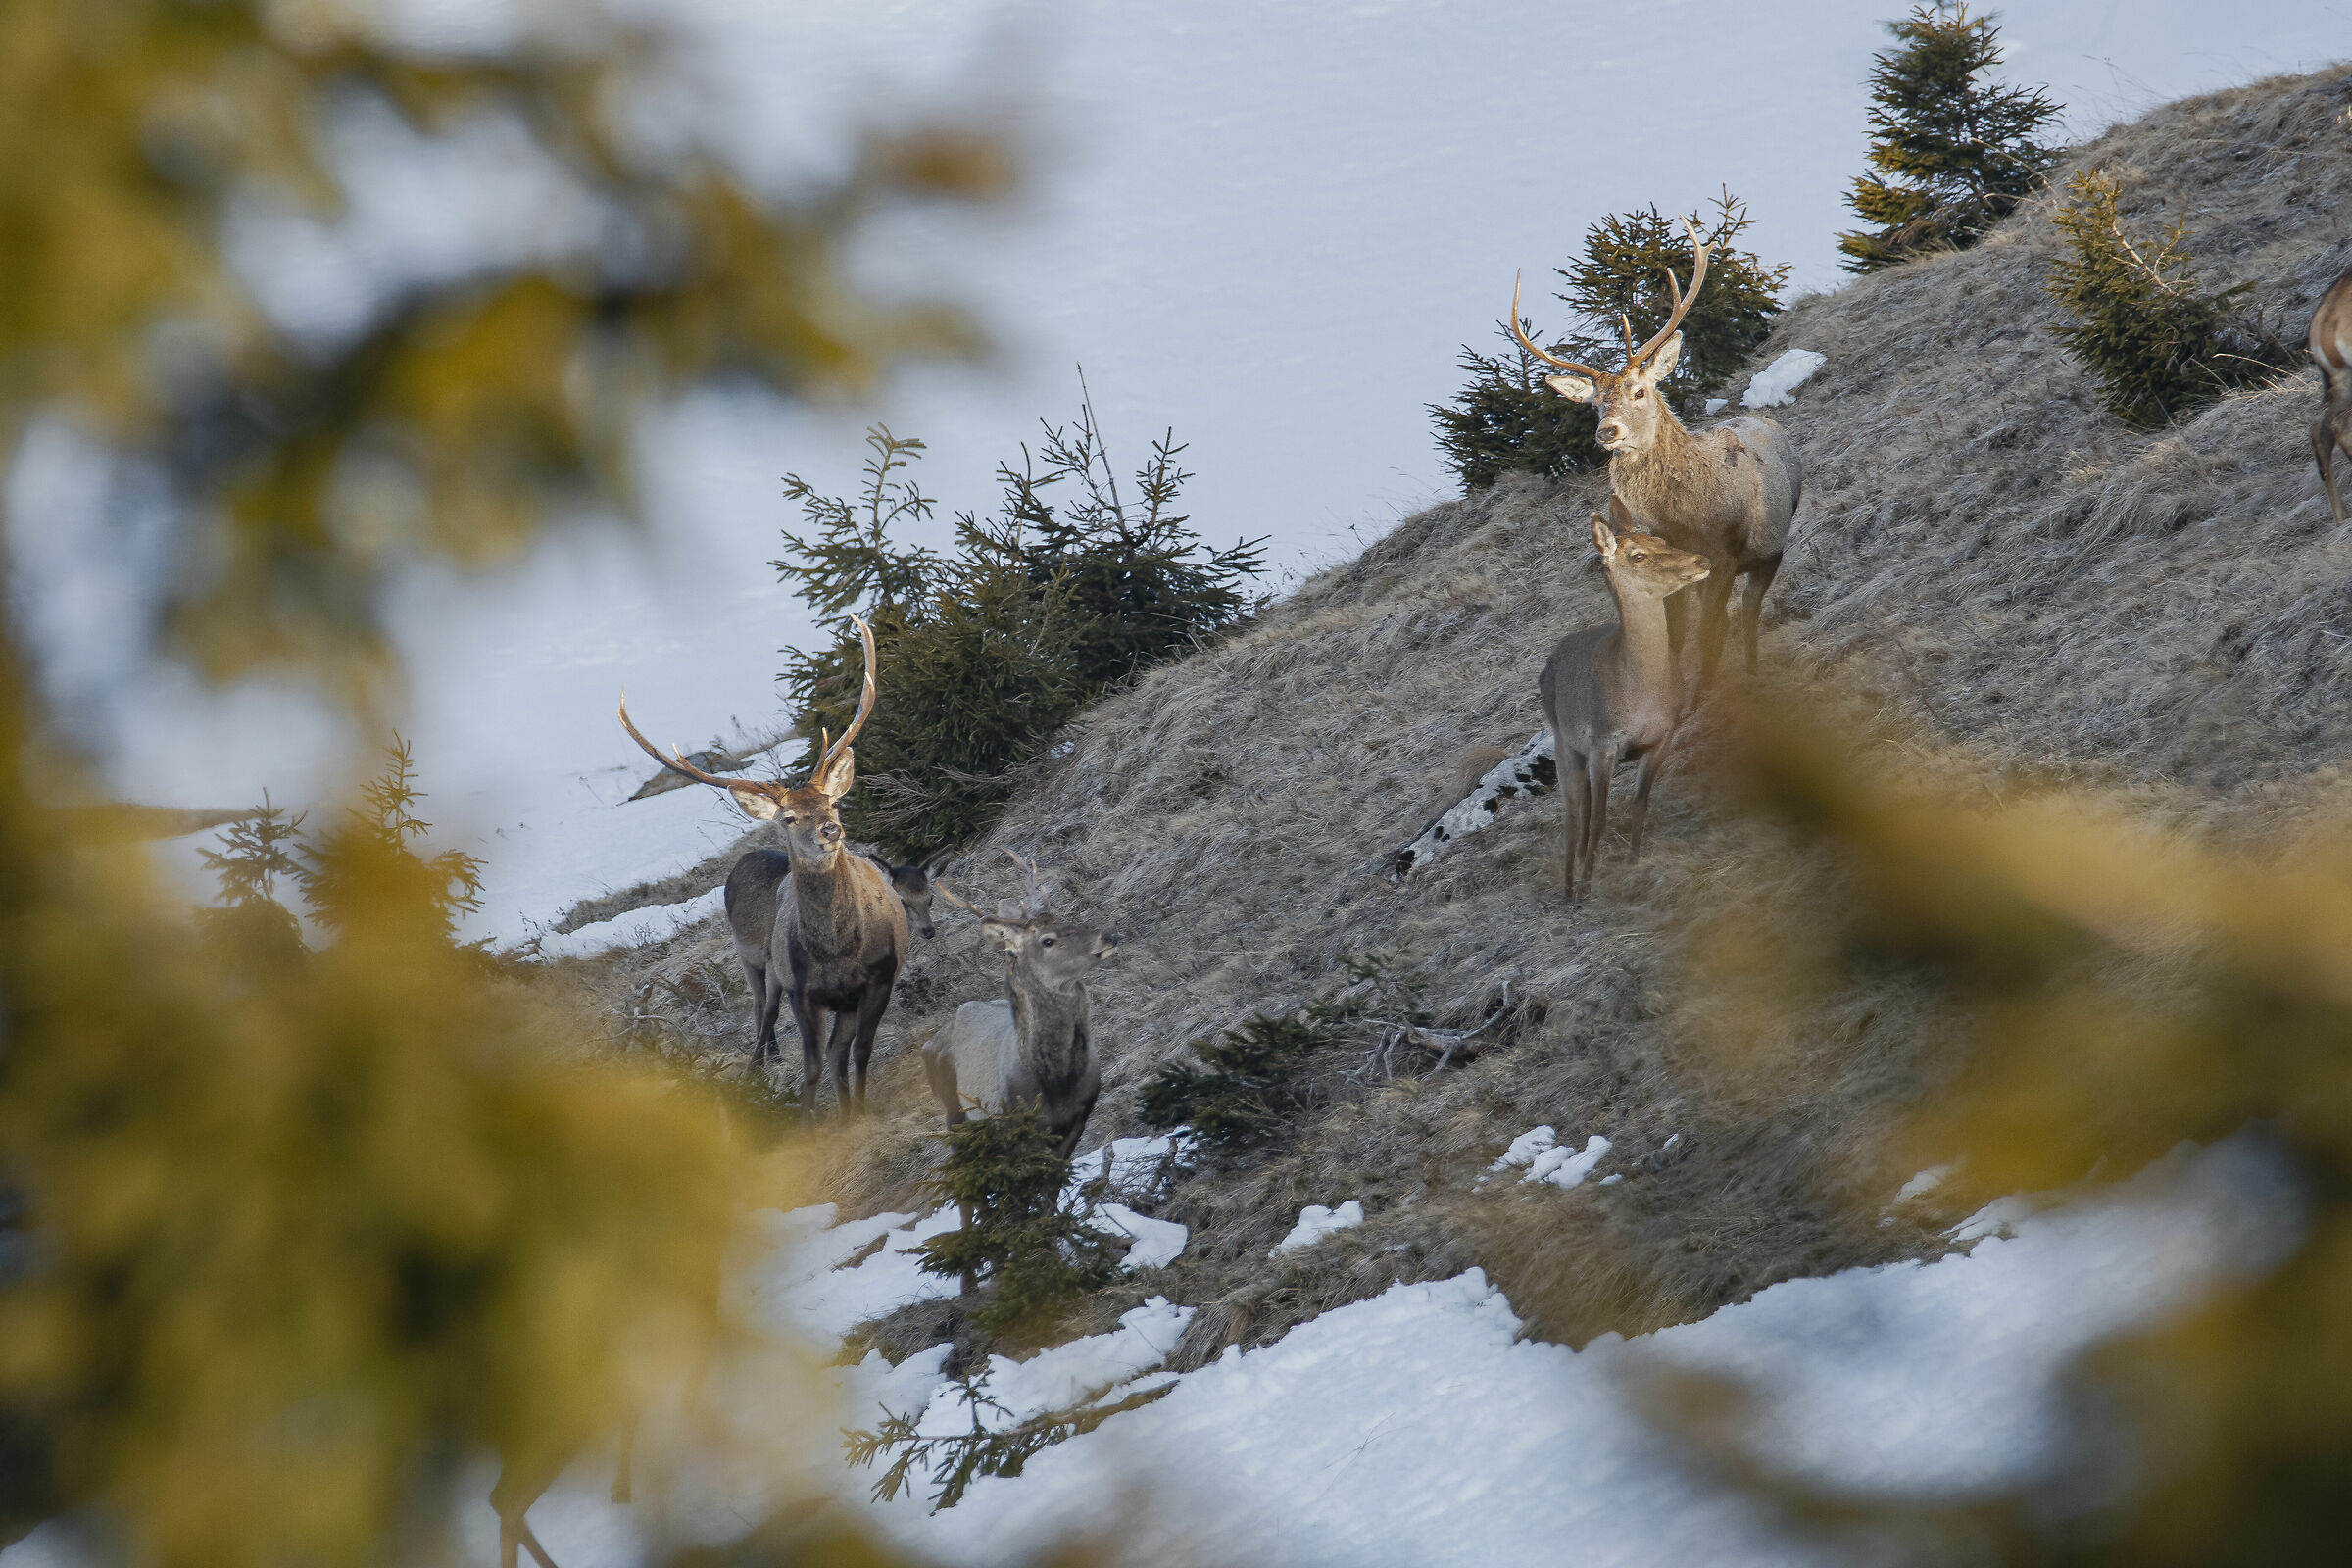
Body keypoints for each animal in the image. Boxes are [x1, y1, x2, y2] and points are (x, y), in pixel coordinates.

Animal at [618, 615, 907, 1114]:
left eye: (833, 802)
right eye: (788, 817)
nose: (831, 831)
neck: (838, 953)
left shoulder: (875, 983)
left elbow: (854, 1054)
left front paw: (856, 1110)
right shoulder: (798, 987)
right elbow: (813, 1061)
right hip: (750, 956)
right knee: (761, 1007)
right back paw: (759, 1060)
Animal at [1510, 215, 1803, 688]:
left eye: (1640, 390)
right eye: (1596, 404)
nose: (1607, 432)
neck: (1688, 514)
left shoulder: (1724, 554)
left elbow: (1710, 633)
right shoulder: (1674, 556)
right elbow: (1679, 635)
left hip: (1770, 551)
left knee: (1748, 611)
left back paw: (1753, 670)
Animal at [1539, 496, 1713, 900]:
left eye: (1660, 539)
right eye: (1637, 555)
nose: (1702, 561)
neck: (1641, 696)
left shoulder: (1664, 736)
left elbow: (1639, 803)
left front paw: (1633, 862)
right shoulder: (1604, 742)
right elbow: (1600, 818)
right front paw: (1586, 887)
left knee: (1583, 808)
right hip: (1564, 744)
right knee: (1573, 814)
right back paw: (1568, 885)